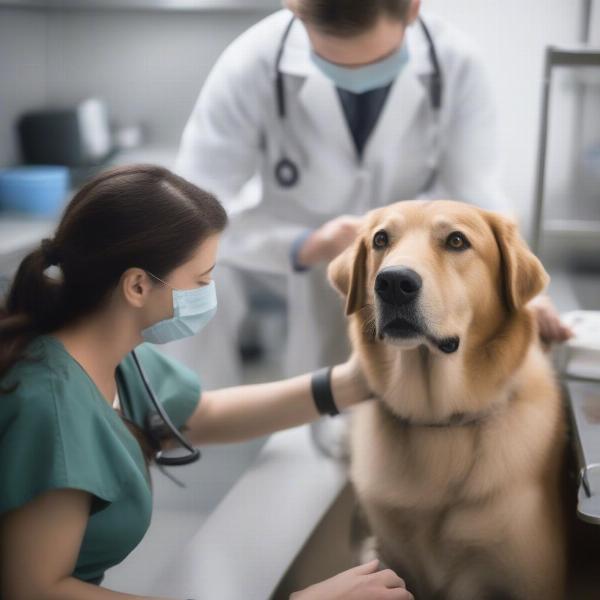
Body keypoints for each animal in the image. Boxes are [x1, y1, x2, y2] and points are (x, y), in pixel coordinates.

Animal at [328, 200, 568, 600]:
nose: (393, 283)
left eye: (457, 240)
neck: (440, 423)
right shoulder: (394, 559)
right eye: (381, 239)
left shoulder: (529, 580)